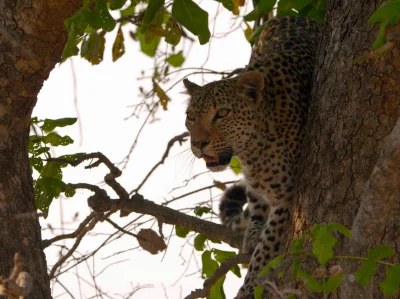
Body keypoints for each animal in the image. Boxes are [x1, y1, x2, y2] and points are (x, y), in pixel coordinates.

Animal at [184, 17, 318, 299]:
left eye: (222, 113)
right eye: (191, 116)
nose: (199, 144)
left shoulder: (287, 197)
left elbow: (267, 247)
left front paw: (249, 287)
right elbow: (258, 209)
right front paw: (254, 234)